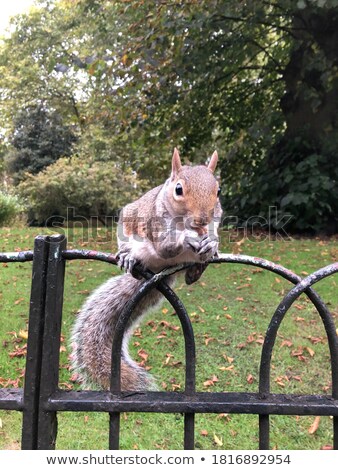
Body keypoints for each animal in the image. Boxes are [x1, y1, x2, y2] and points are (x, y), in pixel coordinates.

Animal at [70, 149, 223, 392]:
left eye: (218, 191)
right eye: (178, 189)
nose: (201, 220)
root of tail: (158, 272)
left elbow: (211, 237)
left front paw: (212, 244)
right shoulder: (155, 224)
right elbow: (165, 247)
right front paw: (186, 239)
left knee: (190, 275)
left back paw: (197, 269)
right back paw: (128, 257)